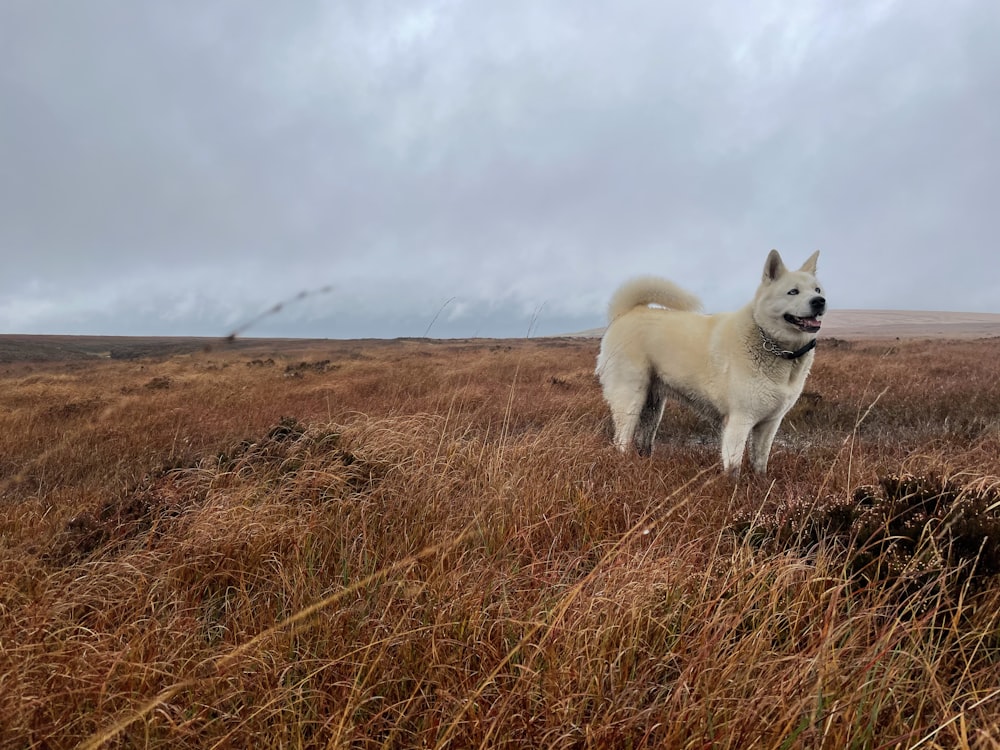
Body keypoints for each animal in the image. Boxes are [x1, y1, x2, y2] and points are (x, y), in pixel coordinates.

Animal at [596, 251, 824, 476]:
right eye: (793, 292)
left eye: (817, 289)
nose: (820, 301)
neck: (770, 343)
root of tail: (625, 313)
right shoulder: (739, 421)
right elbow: (733, 469)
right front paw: (732, 487)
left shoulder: (769, 425)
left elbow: (760, 463)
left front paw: (761, 484)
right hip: (630, 400)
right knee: (622, 440)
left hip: (652, 407)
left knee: (644, 442)